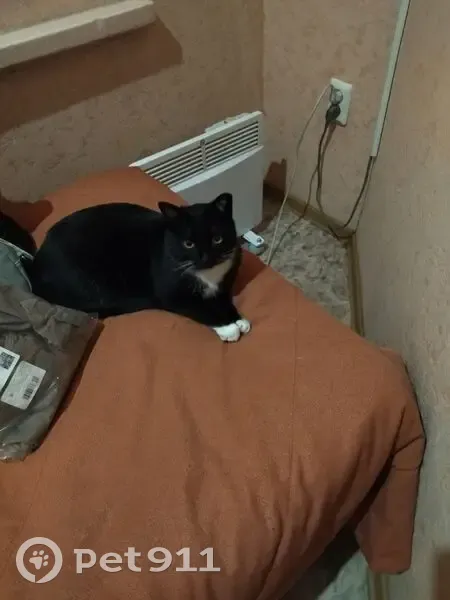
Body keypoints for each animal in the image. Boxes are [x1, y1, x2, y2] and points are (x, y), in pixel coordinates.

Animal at [28, 193, 251, 342]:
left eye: (217, 239)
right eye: (188, 244)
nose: (205, 257)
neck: (207, 274)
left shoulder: (223, 285)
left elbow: (223, 300)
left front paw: (238, 319)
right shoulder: (170, 294)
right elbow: (201, 308)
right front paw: (228, 328)